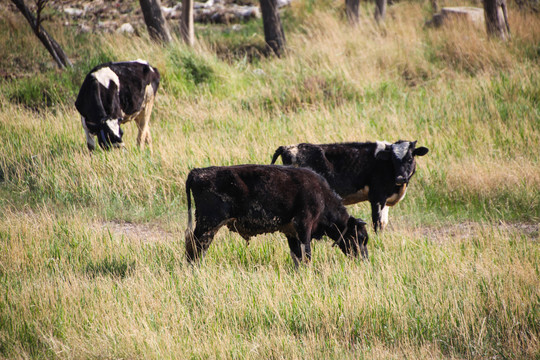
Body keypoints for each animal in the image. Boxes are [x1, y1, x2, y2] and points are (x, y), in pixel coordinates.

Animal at [184, 165, 370, 262]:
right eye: (360, 237)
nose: (365, 259)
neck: (322, 196)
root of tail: (197, 172)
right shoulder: (304, 225)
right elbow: (307, 253)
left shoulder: (291, 232)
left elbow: (297, 255)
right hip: (208, 224)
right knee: (197, 245)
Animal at [272, 139, 428, 232]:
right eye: (393, 160)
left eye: (410, 159)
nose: (400, 178)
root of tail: (289, 147)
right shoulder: (377, 197)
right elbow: (377, 223)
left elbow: (383, 223)